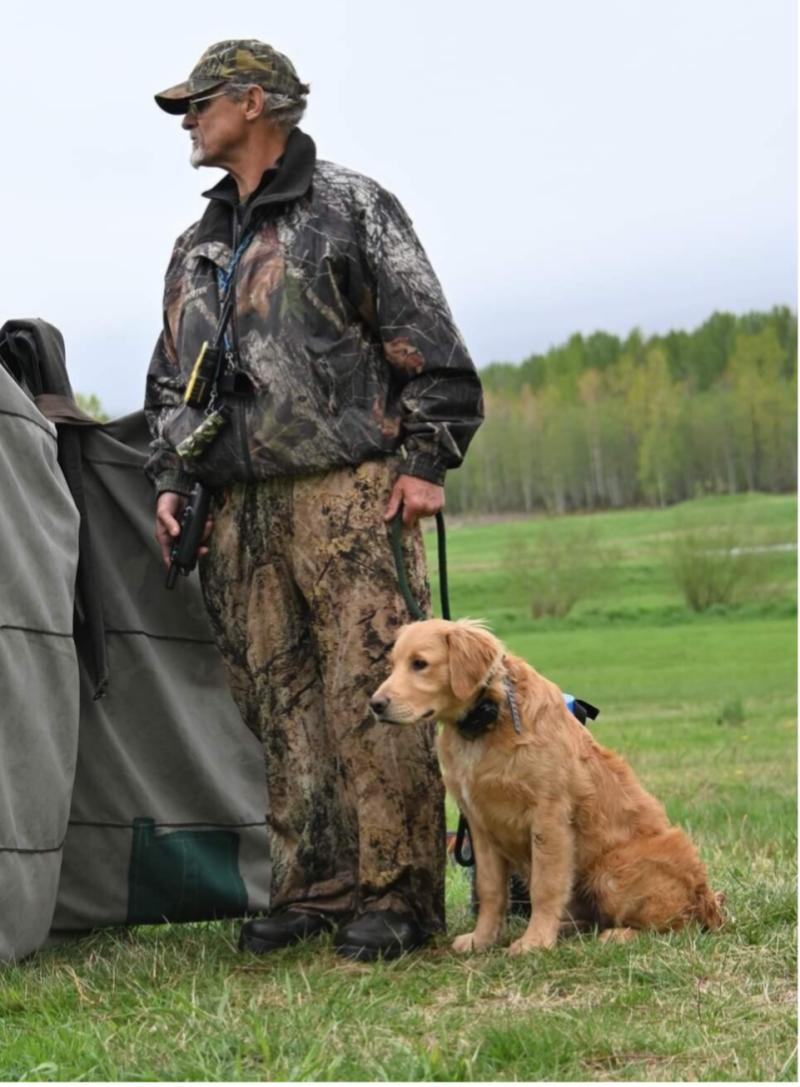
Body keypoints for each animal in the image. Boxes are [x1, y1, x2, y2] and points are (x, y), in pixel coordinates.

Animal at [370, 618, 724, 954]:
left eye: (420, 663)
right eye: (393, 664)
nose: (375, 704)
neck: (490, 719)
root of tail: (708, 901)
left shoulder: (549, 817)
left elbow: (545, 886)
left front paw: (535, 942)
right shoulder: (480, 825)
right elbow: (490, 890)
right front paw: (481, 940)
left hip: (611, 873)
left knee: (677, 926)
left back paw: (618, 935)